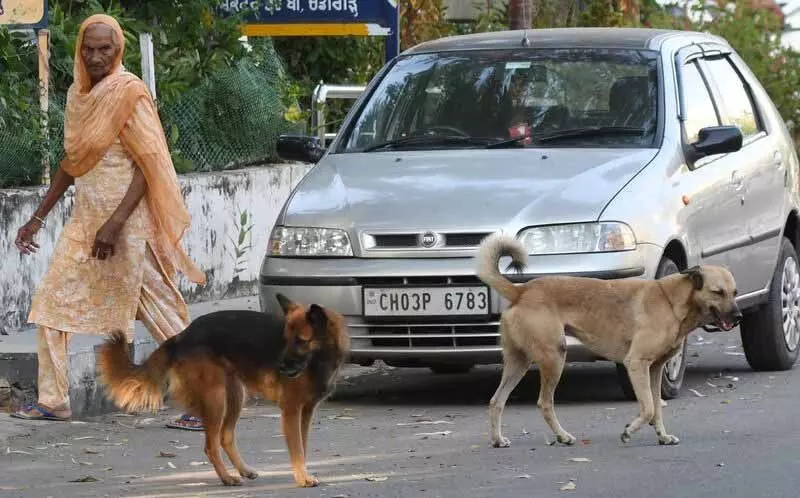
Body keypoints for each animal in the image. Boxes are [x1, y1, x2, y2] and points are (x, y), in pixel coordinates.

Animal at [95, 294, 348, 488]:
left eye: (302, 341)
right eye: (286, 340)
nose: (280, 366)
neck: (319, 360)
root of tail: (182, 335)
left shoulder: (305, 412)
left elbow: (302, 446)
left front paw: (302, 473)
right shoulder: (291, 411)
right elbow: (296, 449)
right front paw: (302, 478)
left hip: (235, 395)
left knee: (225, 437)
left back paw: (243, 470)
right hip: (216, 399)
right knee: (211, 445)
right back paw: (227, 478)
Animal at [476, 233, 744, 448]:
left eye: (735, 292)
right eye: (717, 292)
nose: (739, 317)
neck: (671, 301)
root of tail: (521, 291)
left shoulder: (655, 369)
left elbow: (656, 408)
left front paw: (662, 436)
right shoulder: (636, 363)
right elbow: (648, 408)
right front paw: (628, 432)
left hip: (518, 363)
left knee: (496, 401)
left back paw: (498, 439)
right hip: (554, 357)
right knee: (544, 403)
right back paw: (563, 436)